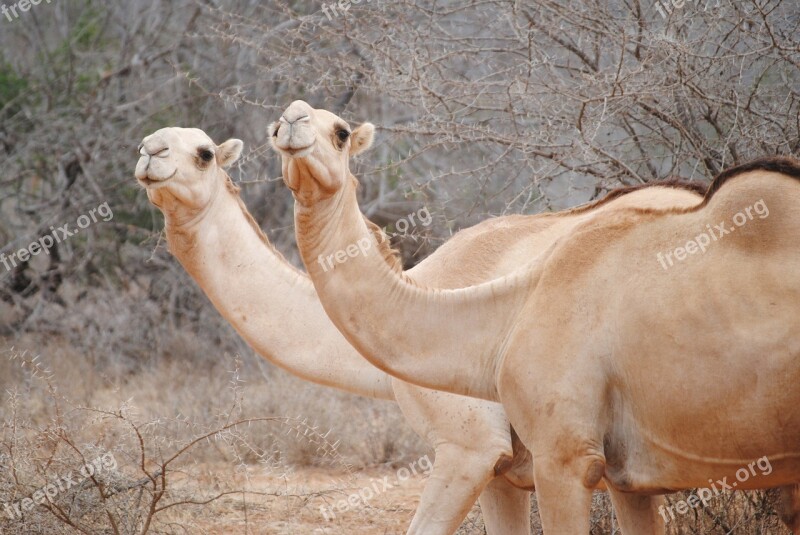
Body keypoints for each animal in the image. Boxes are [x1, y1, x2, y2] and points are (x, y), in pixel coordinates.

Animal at [272, 101, 800, 535]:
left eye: (341, 132)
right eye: (275, 125)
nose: (292, 121)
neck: (511, 310)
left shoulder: (553, 454)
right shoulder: (626, 479)